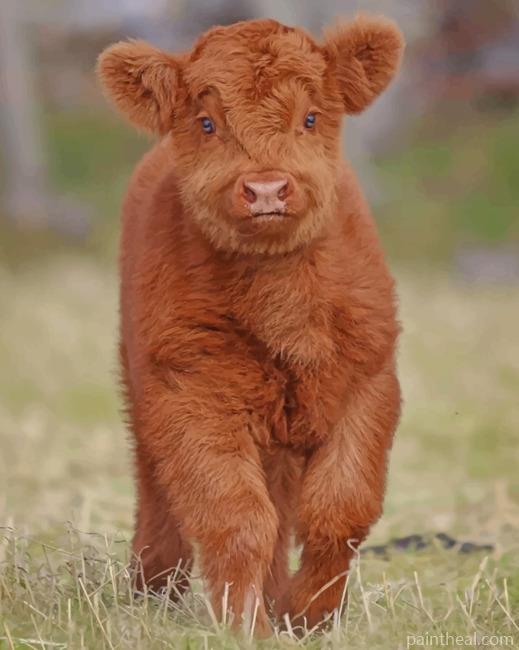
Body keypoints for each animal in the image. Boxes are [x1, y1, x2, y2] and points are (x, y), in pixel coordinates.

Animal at [97, 14, 404, 637]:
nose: (266, 189)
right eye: (207, 122)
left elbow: (340, 510)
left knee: (284, 510)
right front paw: (244, 626)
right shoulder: (191, 396)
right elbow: (236, 518)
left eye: (310, 116)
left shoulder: (369, 384)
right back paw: (153, 591)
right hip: (144, 393)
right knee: (158, 491)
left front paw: (309, 618)